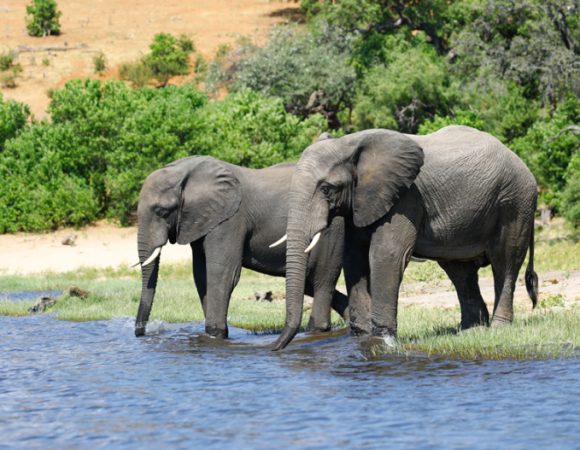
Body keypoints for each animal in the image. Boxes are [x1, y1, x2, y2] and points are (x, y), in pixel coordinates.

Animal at [134, 155, 346, 338]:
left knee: (322, 279)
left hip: (332, 229)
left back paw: (318, 329)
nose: (141, 334)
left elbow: (222, 274)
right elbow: (201, 275)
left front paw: (215, 334)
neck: (183, 171)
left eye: (162, 211)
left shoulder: (230, 220)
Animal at [274, 125, 540, 350]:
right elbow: (354, 259)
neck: (349, 143)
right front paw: (361, 338)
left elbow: (386, 255)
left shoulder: (405, 197)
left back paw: (497, 327)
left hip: (514, 202)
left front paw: (383, 341)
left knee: (504, 263)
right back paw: (470, 330)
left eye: (326, 189)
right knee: (460, 271)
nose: (275, 348)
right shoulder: (361, 202)